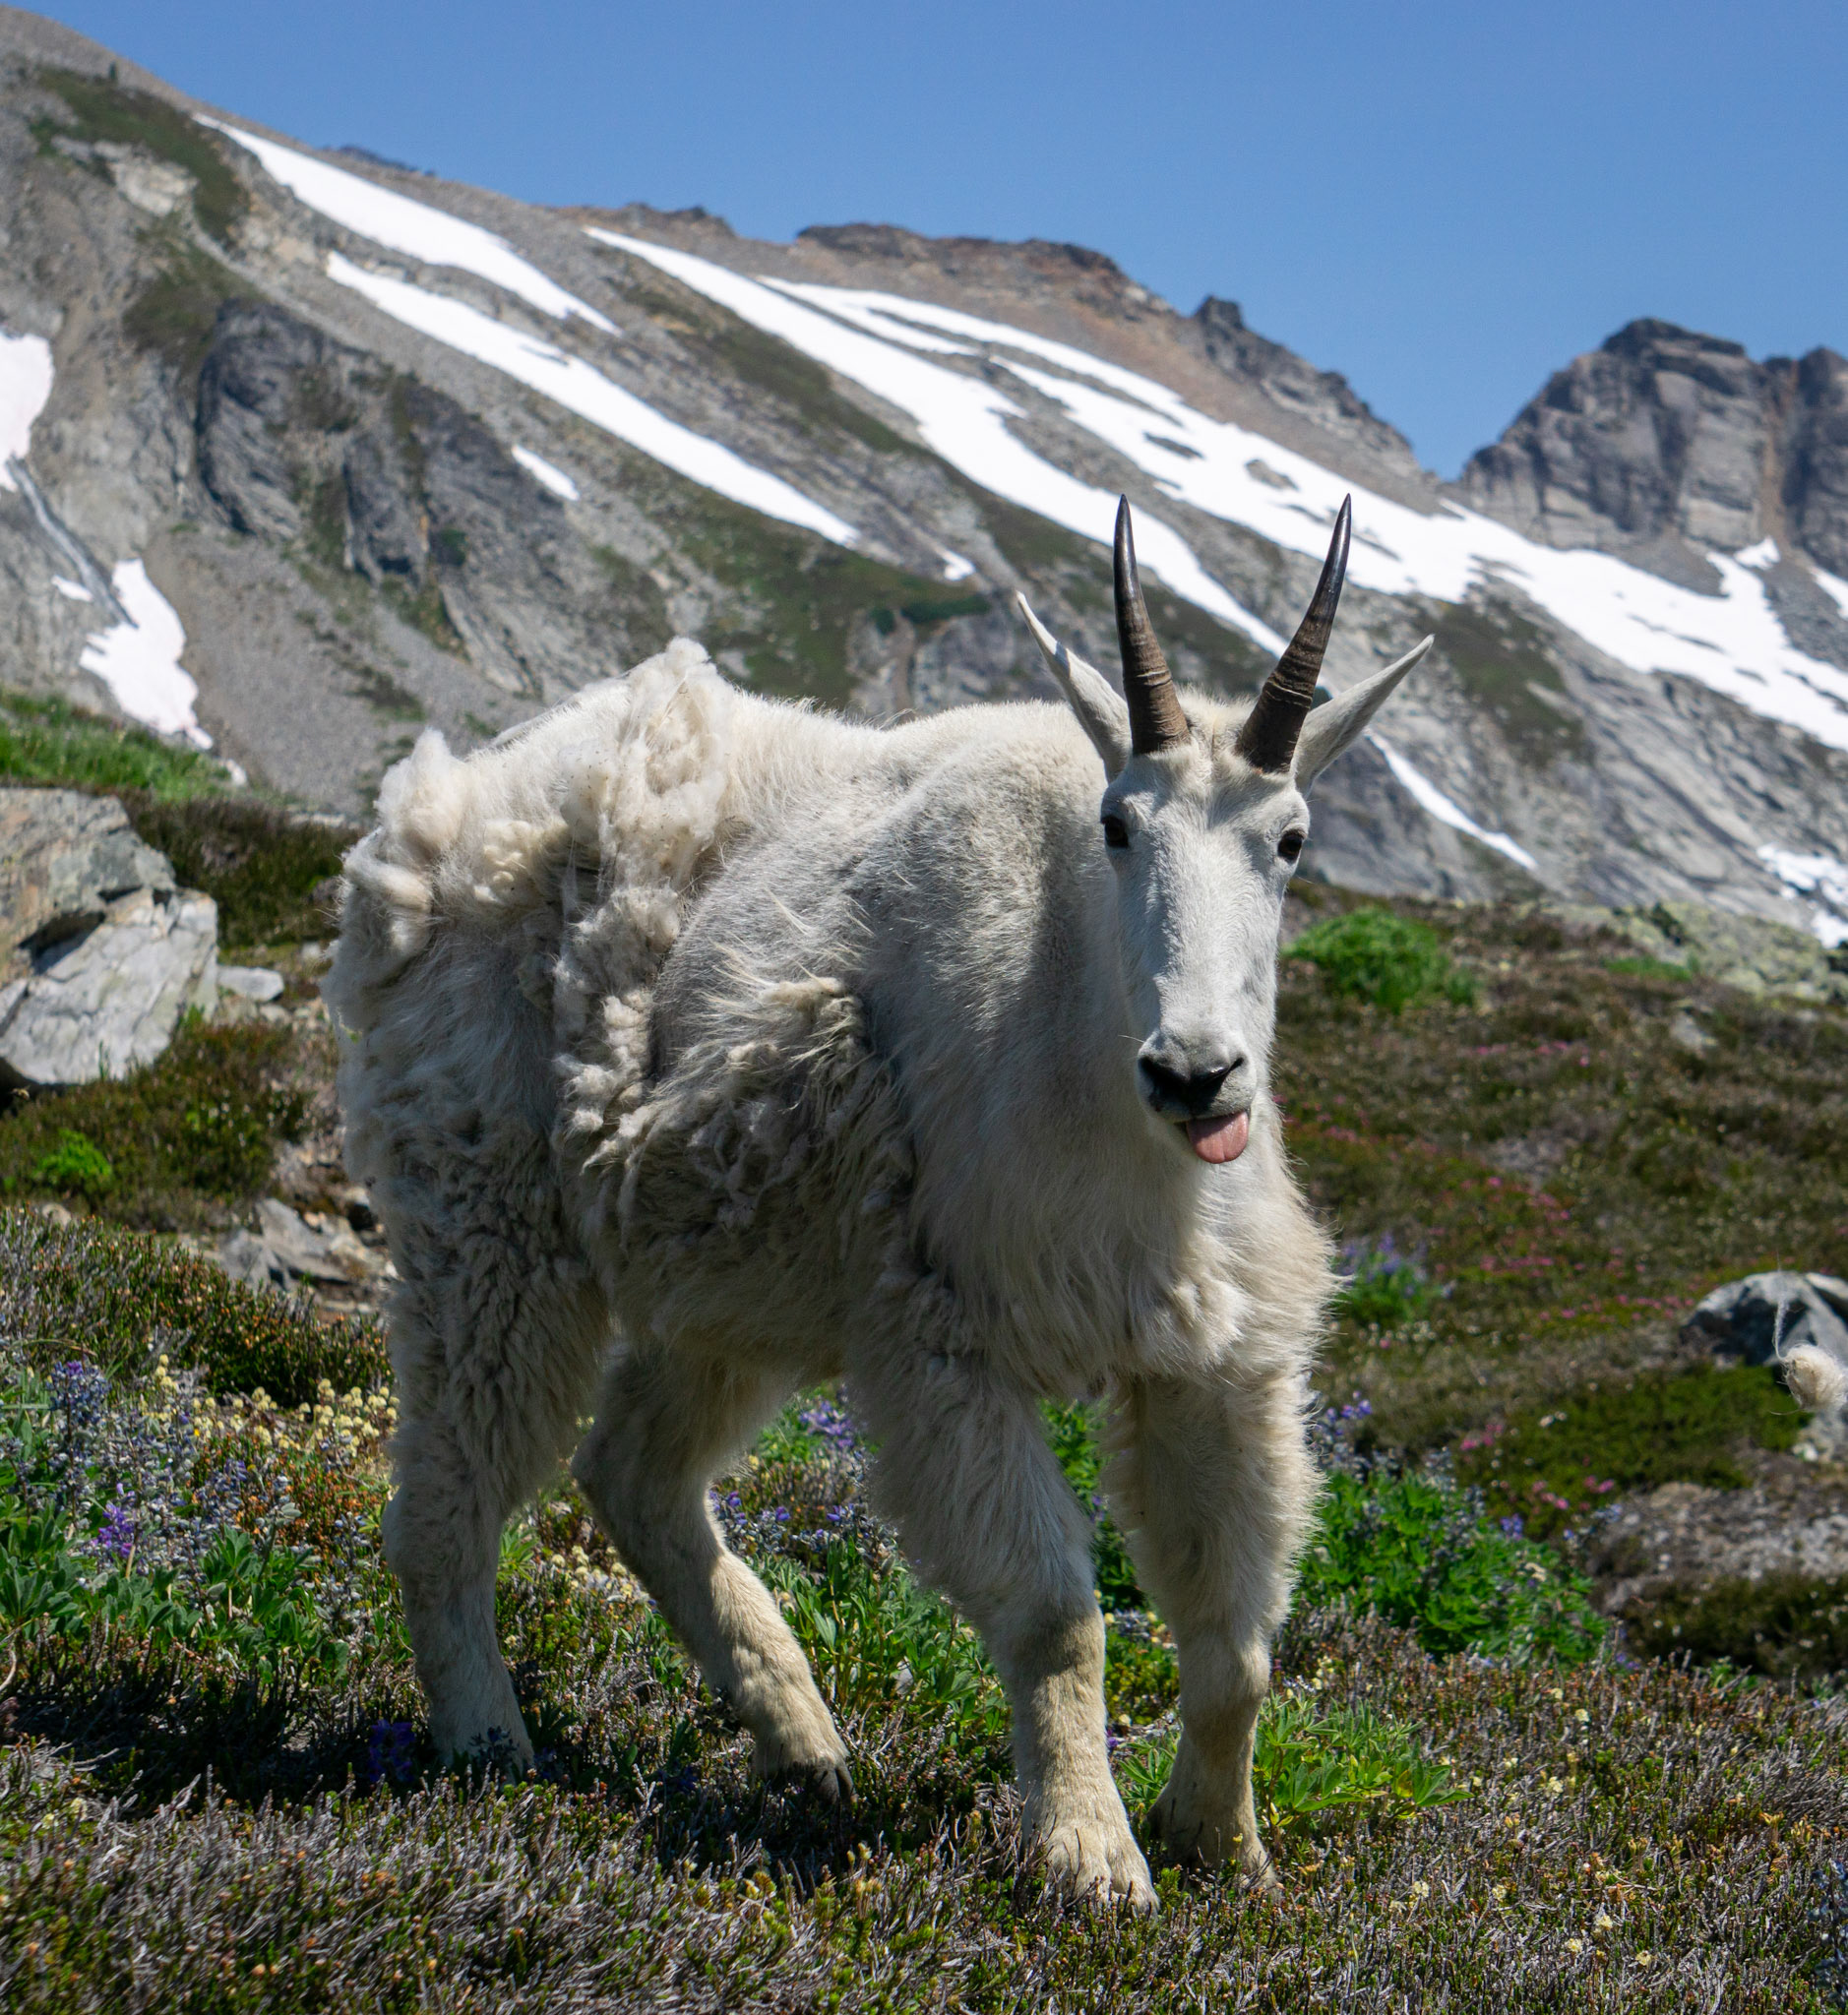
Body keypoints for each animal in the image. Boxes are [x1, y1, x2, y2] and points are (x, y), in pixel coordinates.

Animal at [326, 495, 1430, 1907]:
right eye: (1117, 826)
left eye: (1290, 841)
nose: (1195, 1074)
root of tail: (426, 823)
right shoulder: (940, 1333)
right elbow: (1056, 1615)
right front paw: (1094, 1864)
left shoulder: (1210, 1355)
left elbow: (1235, 1638)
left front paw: (1225, 1854)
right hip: (490, 1220)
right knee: (448, 1494)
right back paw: (488, 1751)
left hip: (732, 1270)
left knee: (631, 1471)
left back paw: (804, 1748)